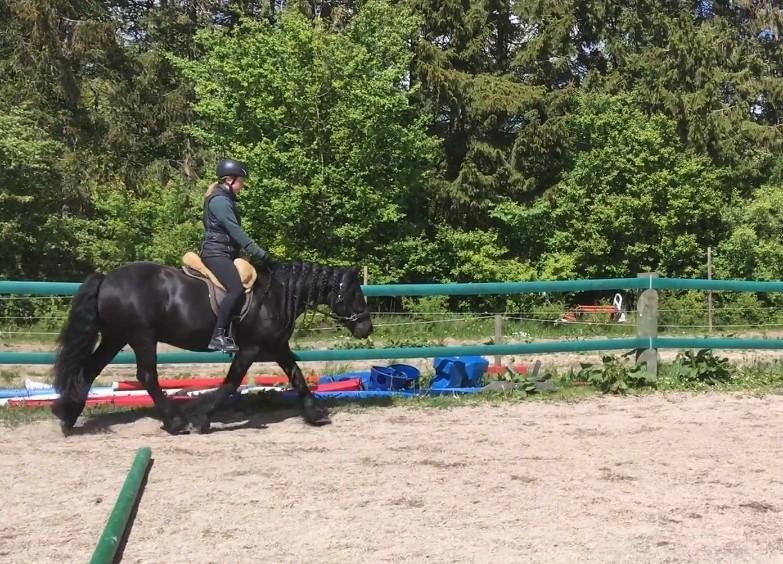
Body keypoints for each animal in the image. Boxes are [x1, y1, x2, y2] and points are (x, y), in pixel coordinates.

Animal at [51, 260, 373, 434]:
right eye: (354, 294)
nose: (366, 328)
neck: (276, 296)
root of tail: (107, 278)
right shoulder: (250, 348)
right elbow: (231, 382)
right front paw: (202, 416)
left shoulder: (277, 345)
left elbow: (298, 376)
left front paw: (315, 414)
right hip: (141, 336)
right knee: (147, 376)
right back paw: (175, 422)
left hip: (116, 337)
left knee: (89, 370)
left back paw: (66, 415)